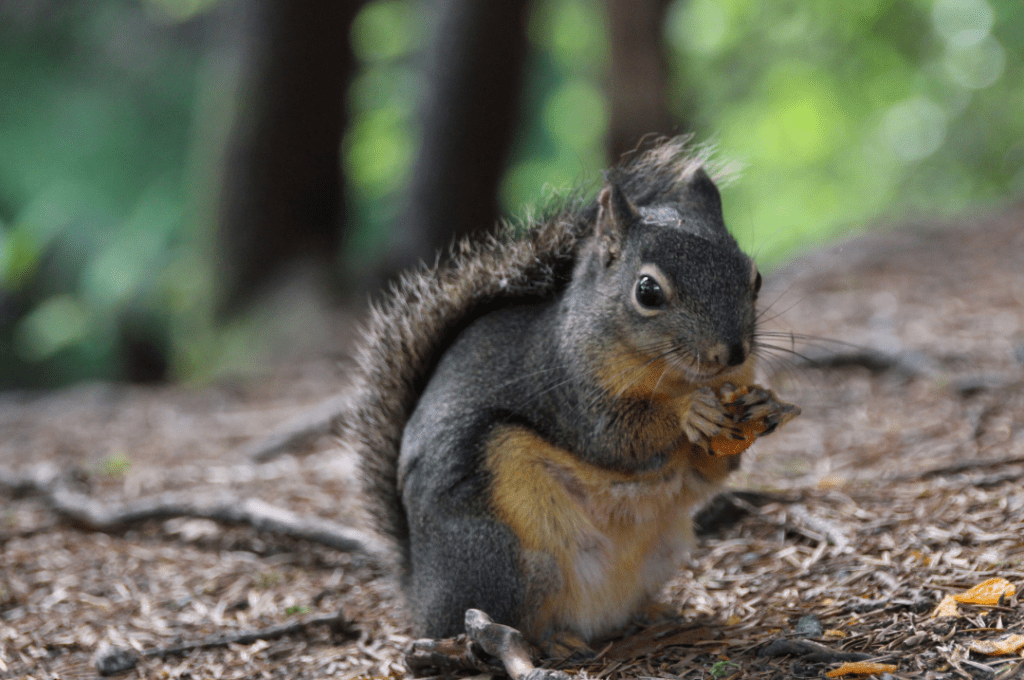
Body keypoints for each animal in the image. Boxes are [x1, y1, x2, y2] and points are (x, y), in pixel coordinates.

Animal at [331, 137, 794, 675]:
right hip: (503, 561)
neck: (677, 377)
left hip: (661, 552)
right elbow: (618, 439)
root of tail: (421, 595)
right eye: (648, 291)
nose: (733, 352)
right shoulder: (570, 392)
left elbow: (713, 468)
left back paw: (653, 617)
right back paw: (547, 643)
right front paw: (689, 413)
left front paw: (765, 404)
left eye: (754, 277)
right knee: (502, 623)